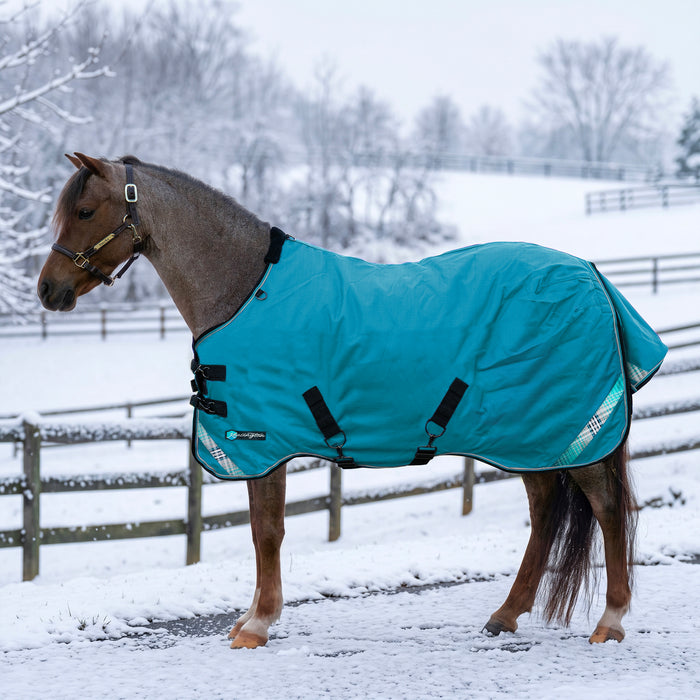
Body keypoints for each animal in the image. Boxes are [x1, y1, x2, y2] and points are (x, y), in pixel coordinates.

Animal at [38, 153, 662, 649]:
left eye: (85, 211)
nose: (48, 290)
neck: (244, 290)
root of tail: (591, 275)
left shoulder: (263, 442)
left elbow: (267, 530)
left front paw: (257, 625)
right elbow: (261, 529)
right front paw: (251, 617)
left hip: (567, 433)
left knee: (609, 509)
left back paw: (610, 621)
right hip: (532, 436)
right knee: (545, 512)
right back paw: (506, 615)